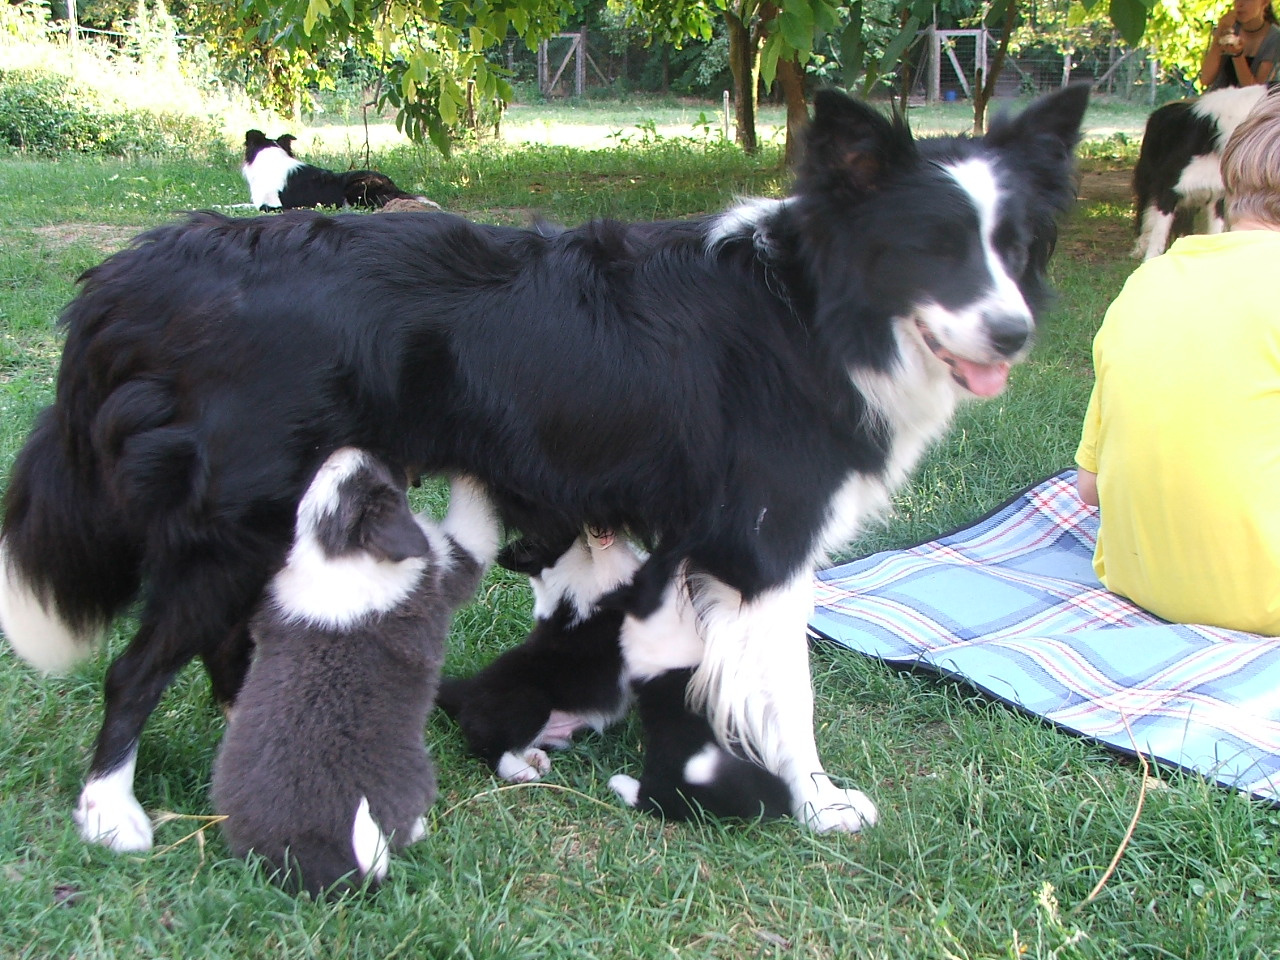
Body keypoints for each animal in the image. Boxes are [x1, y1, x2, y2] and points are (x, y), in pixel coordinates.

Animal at [212, 450, 496, 901]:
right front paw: (472, 475)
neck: (335, 550)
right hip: (409, 782)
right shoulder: (448, 561)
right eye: (377, 471)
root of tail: (305, 853)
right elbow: (473, 520)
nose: (343, 448)